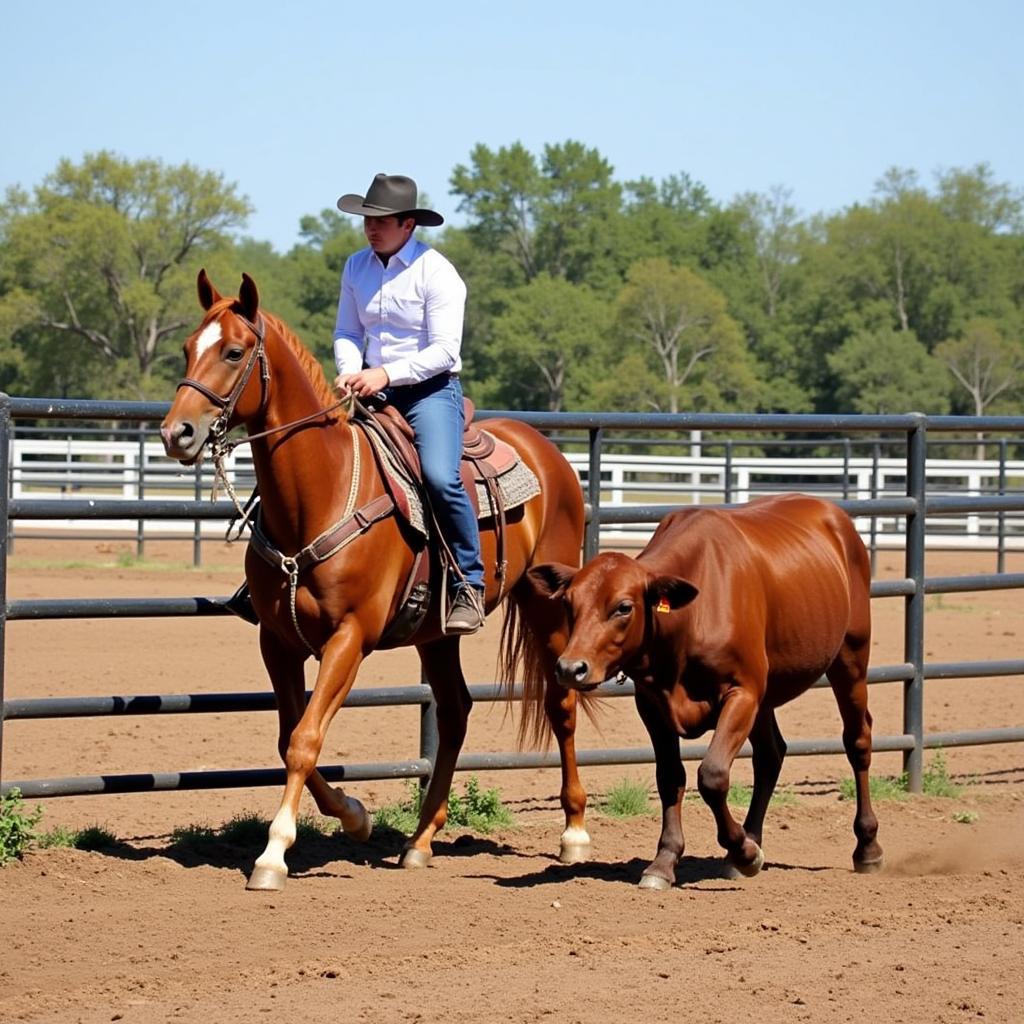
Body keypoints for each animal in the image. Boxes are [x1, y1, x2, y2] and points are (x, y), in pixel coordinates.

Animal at [162, 272, 589, 888]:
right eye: (188, 348)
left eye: (234, 352)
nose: (176, 433)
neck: (319, 492)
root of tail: (548, 454)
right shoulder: (277, 640)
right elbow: (288, 736)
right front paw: (354, 817)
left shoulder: (350, 638)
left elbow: (306, 739)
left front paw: (273, 854)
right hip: (438, 634)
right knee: (454, 712)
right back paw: (420, 841)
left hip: (545, 603)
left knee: (561, 702)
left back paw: (574, 833)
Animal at [528, 493, 880, 888]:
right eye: (568, 603)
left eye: (623, 607)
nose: (570, 668)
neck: (690, 619)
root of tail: (833, 515)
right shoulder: (653, 704)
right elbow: (670, 777)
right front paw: (665, 861)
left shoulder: (742, 693)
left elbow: (712, 776)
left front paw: (743, 852)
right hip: (768, 695)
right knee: (770, 754)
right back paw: (750, 841)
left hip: (850, 659)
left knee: (857, 740)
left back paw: (866, 846)